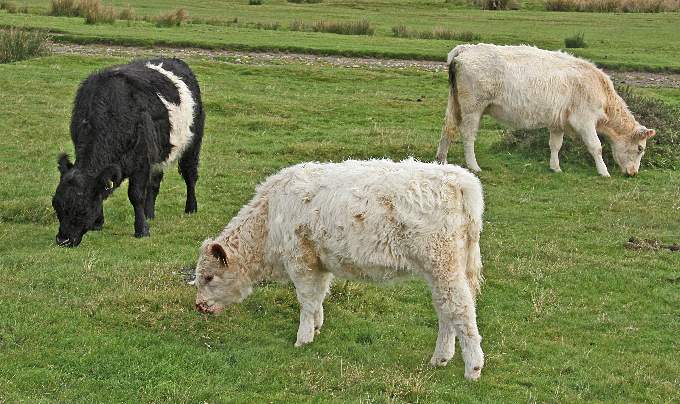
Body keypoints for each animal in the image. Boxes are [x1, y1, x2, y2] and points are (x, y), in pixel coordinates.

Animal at [52, 58, 204, 247]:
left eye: (82, 209)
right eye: (56, 204)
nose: (63, 240)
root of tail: (174, 60)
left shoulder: (141, 160)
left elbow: (136, 194)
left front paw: (142, 230)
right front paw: (98, 223)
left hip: (192, 144)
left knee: (190, 175)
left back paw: (190, 208)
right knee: (154, 183)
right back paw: (149, 214)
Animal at [193, 159, 486, 380]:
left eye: (208, 277)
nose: (199, 306)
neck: (269, 216)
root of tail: (458, 178)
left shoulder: (300, 260)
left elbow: (307, 300)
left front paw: (303, 338)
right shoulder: (320, 262)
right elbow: (319, 296)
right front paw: (317, 326)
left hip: (442, 264)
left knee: (460, 308)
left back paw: (472, 367)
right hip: (443, 270)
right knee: (446, 309)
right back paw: (441, 357)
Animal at [435, 44, 656, 177]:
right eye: (640, 149)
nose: (633, 173)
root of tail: (467, 48)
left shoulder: (557, 122)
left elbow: (555, 145)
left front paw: (555, 167)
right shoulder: (585, 120)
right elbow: (596, 147)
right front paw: (603, 171)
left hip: (455, 104)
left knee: (448, 129)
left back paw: (442, 160)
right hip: (473, 108)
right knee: (468, 134)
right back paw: (473, 165)